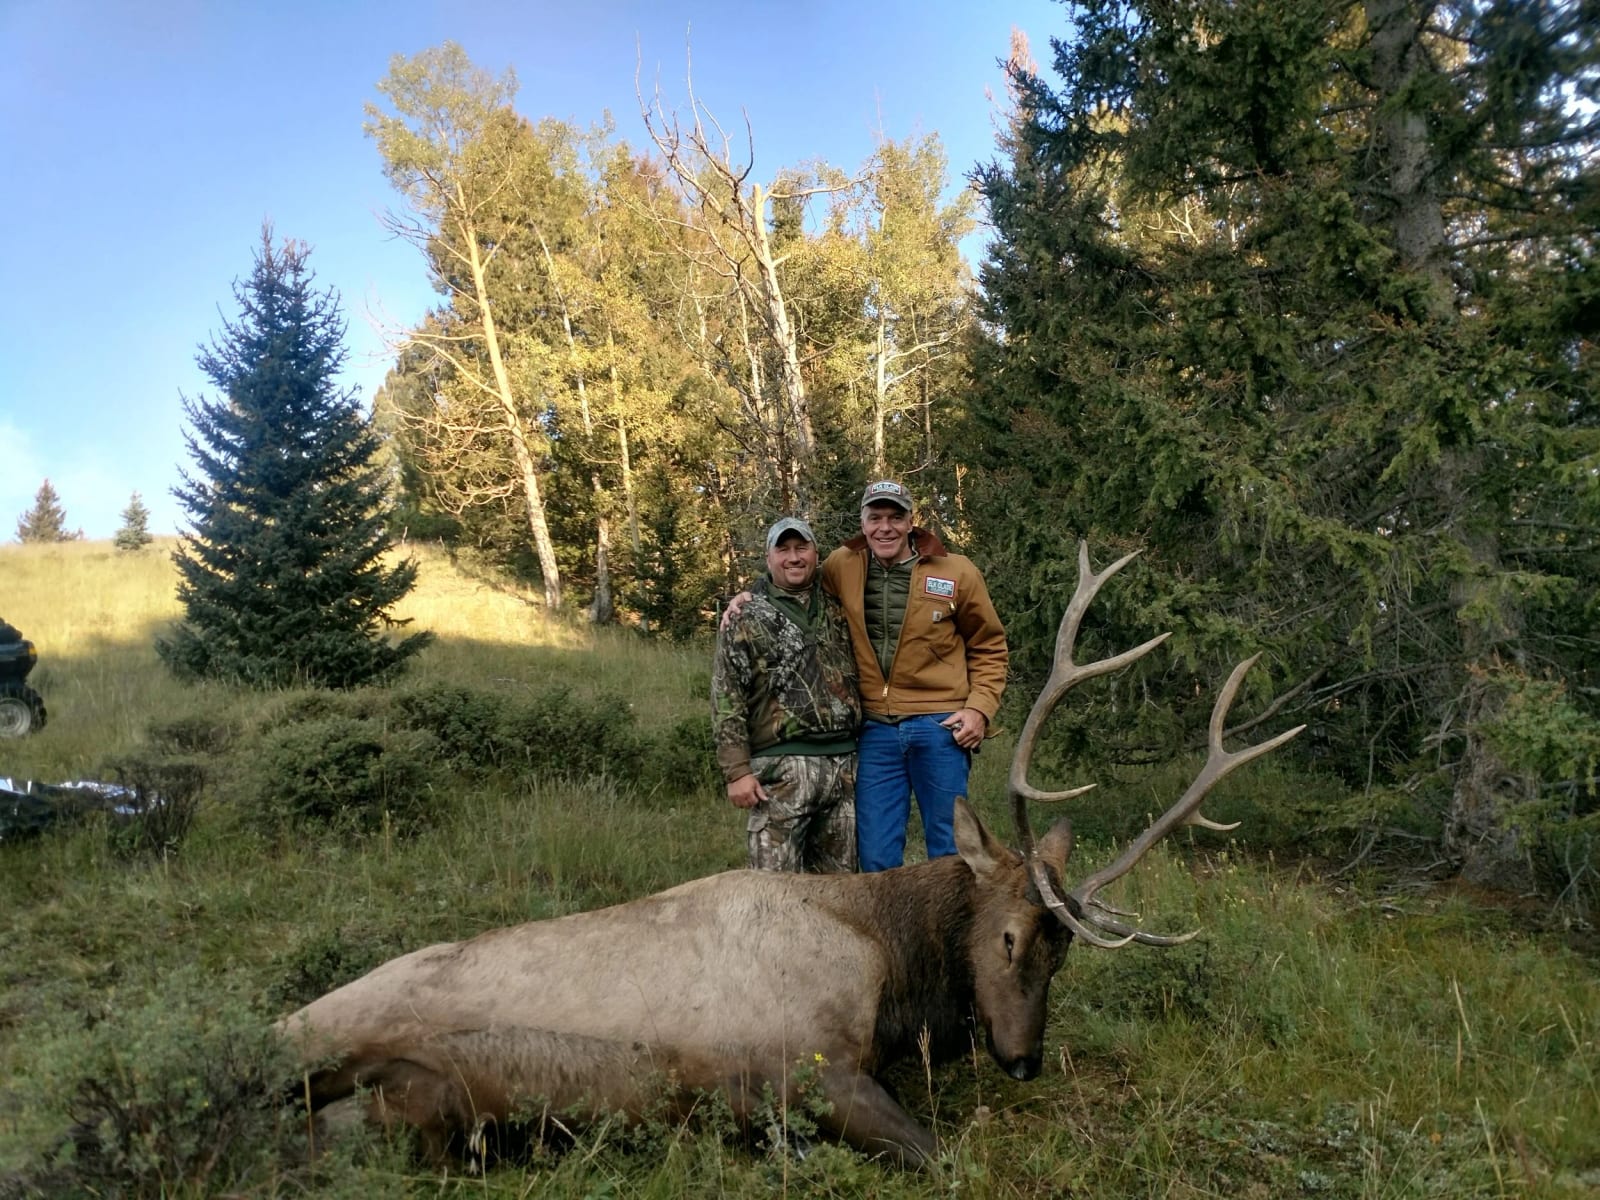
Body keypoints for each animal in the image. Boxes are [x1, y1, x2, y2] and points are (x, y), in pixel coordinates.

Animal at [278, 543, 1303, 1167]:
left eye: (1066, 955)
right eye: (1010, 937)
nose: (1022, 1062)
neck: (893, 962)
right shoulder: (809, 1068)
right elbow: (941, 1155)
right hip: (348, 1062)